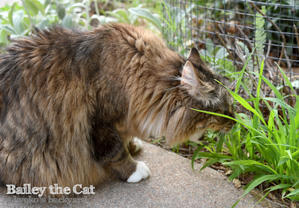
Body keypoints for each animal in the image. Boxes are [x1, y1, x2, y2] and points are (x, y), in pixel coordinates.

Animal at [0, 23, 236, 193]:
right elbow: (115, 151)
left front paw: (133, 145)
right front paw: (134, 170)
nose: (235, 121)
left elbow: (123, 140)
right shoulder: (99, 120)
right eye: (225, 110)